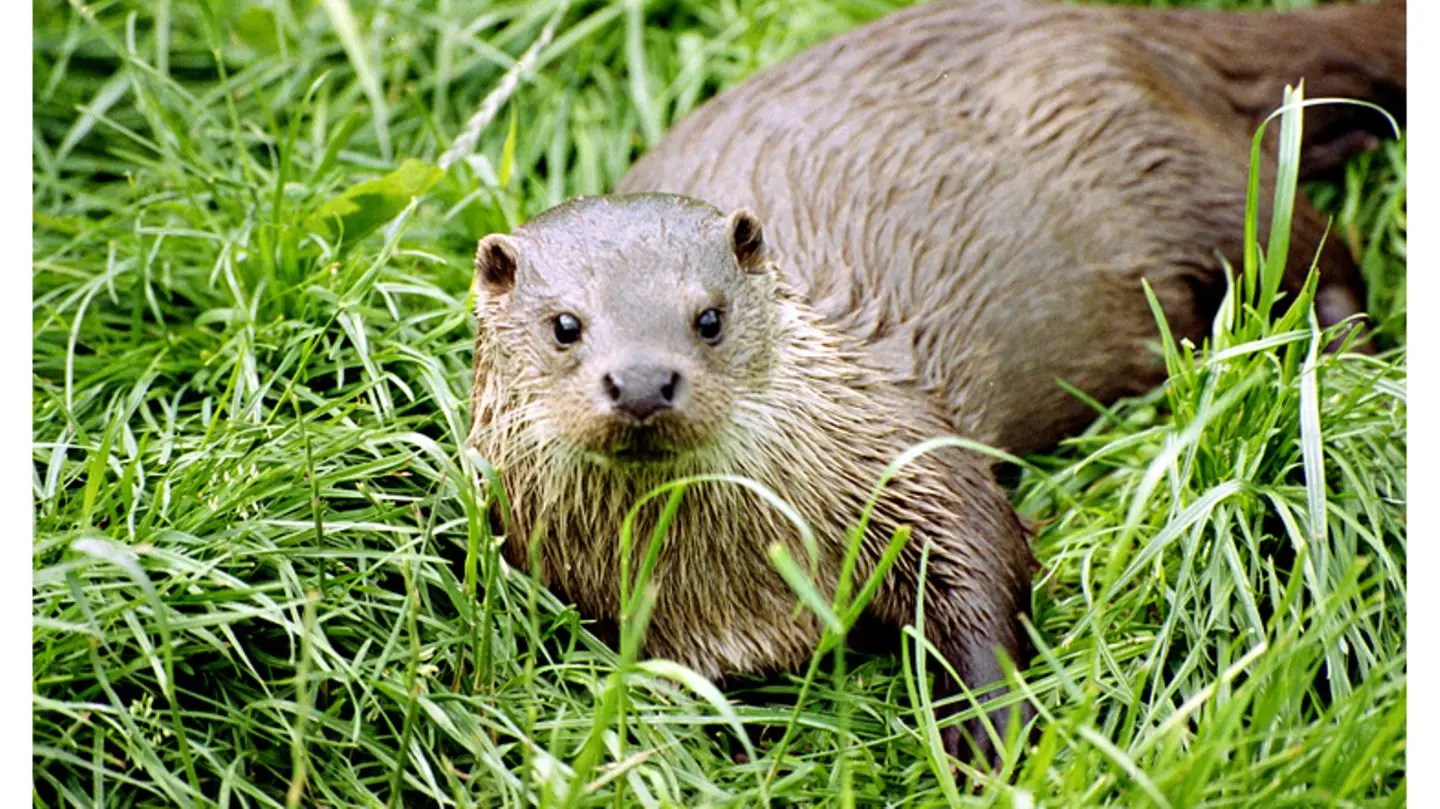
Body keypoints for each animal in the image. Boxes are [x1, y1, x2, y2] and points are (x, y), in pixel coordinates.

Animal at [469, 195, 1036, 766]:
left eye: (710, 318)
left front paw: (985, 721)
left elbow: (978, 563)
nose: (642, 383)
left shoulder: (906, 454)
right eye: (565, 325)